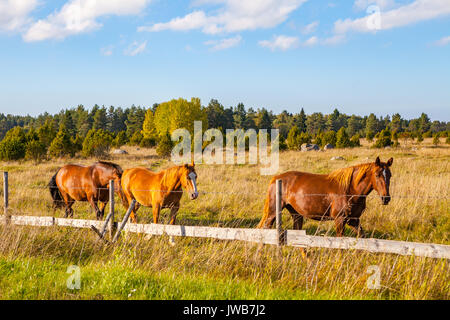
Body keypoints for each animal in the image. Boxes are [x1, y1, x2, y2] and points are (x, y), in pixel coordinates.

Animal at [258, 156, 392, 236]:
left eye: (389, 175)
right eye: (377, 174)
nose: (386, 198)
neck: (350, 190)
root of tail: (276, 178)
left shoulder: (354, 220)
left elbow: (362, 237)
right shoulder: (340, 220)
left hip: (296, 214)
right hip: (273, 213)